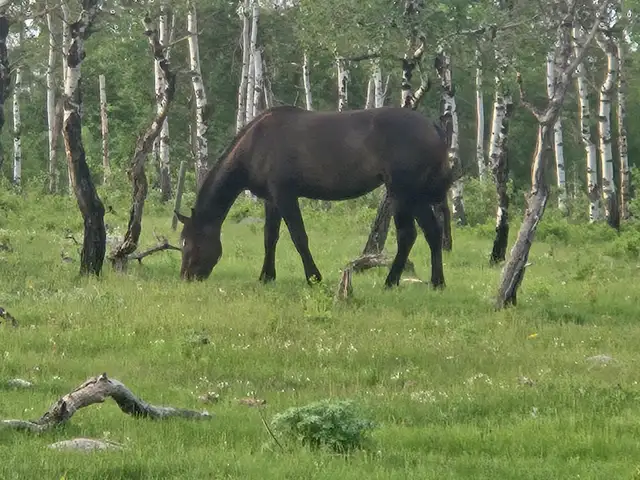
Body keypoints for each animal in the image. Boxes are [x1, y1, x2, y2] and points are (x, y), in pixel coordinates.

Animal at [175, 105, 453, 288]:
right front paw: (266, 276)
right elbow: (269, 238)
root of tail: (433, 127)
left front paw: (313, 277)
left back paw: (391, 280)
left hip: (403, 194)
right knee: (432, 232)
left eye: (189, 242)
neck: (255, 144)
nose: (186, 276)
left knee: (408, 235)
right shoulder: (271, 199)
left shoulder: (285, 195)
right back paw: (437, 281)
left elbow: (299, 237)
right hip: (416, 197)